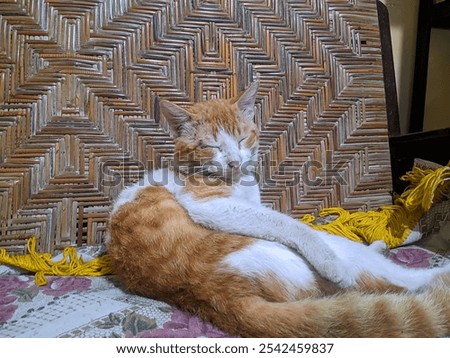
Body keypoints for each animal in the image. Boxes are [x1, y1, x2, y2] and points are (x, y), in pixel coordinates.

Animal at [108, 82, 450, 338]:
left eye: (242, 138)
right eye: (212, 146)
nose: (234, 162)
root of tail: (216, 295)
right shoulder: (212, 205)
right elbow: (287, 224)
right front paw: (329, 259)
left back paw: (385, 243)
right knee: (400, 280)